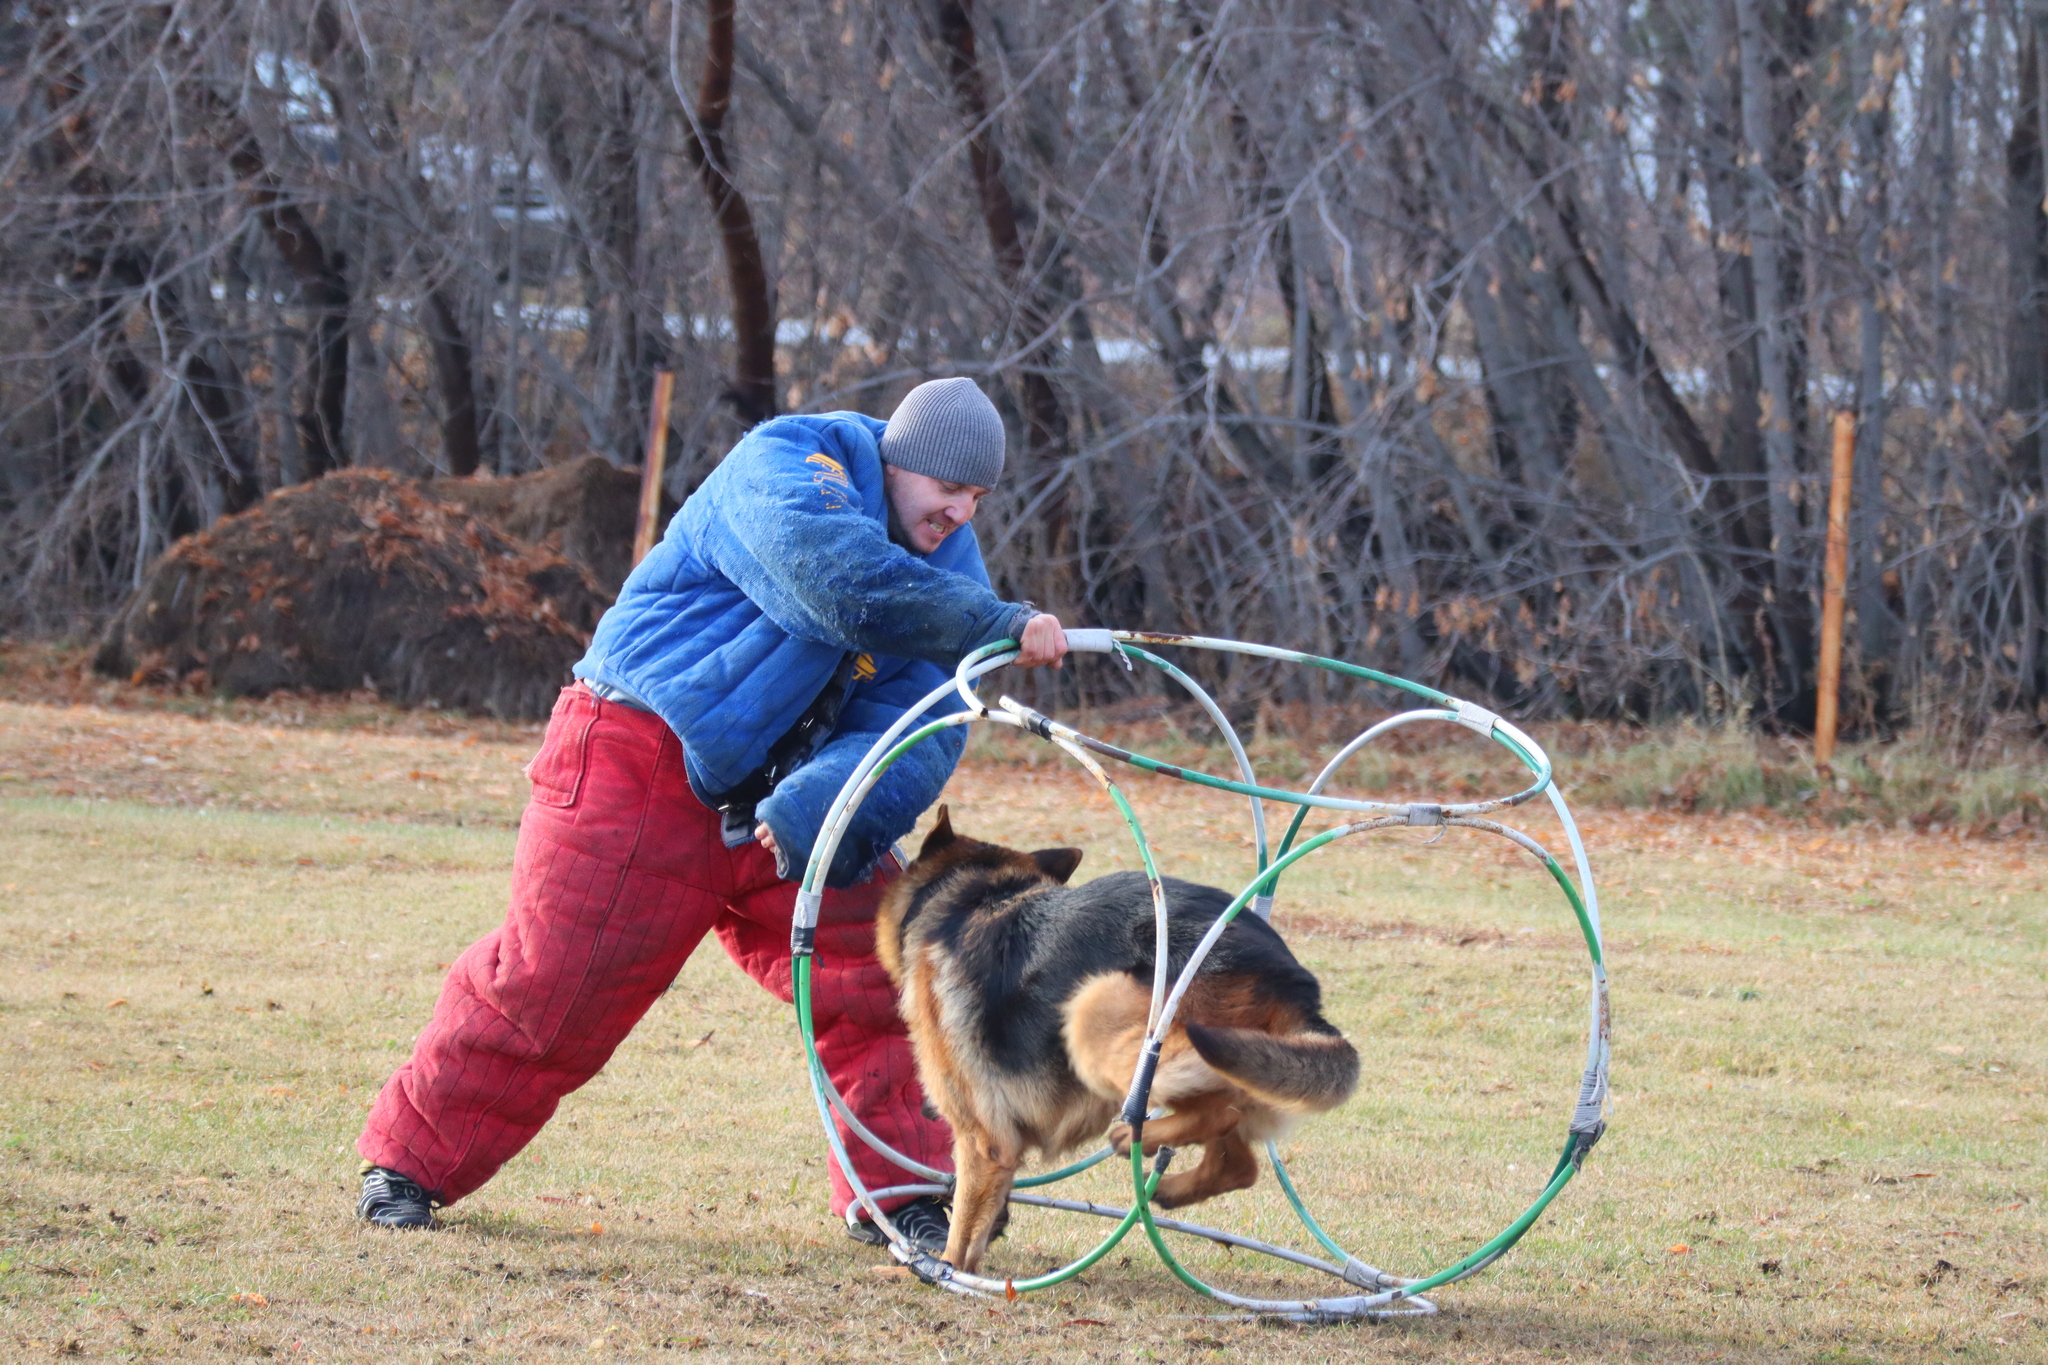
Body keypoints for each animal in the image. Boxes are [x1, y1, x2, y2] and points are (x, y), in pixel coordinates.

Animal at [868, 810, 1359, 1268]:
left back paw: (1135, 1137)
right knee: (1239, 1158)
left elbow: (964, 1231)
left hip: (1094, 1013)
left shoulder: (982, 1140)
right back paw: (1170, 1187)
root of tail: (1292, 982)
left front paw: (940, 1273)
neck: (975, 895)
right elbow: (986, 1216)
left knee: (1218, 1113)